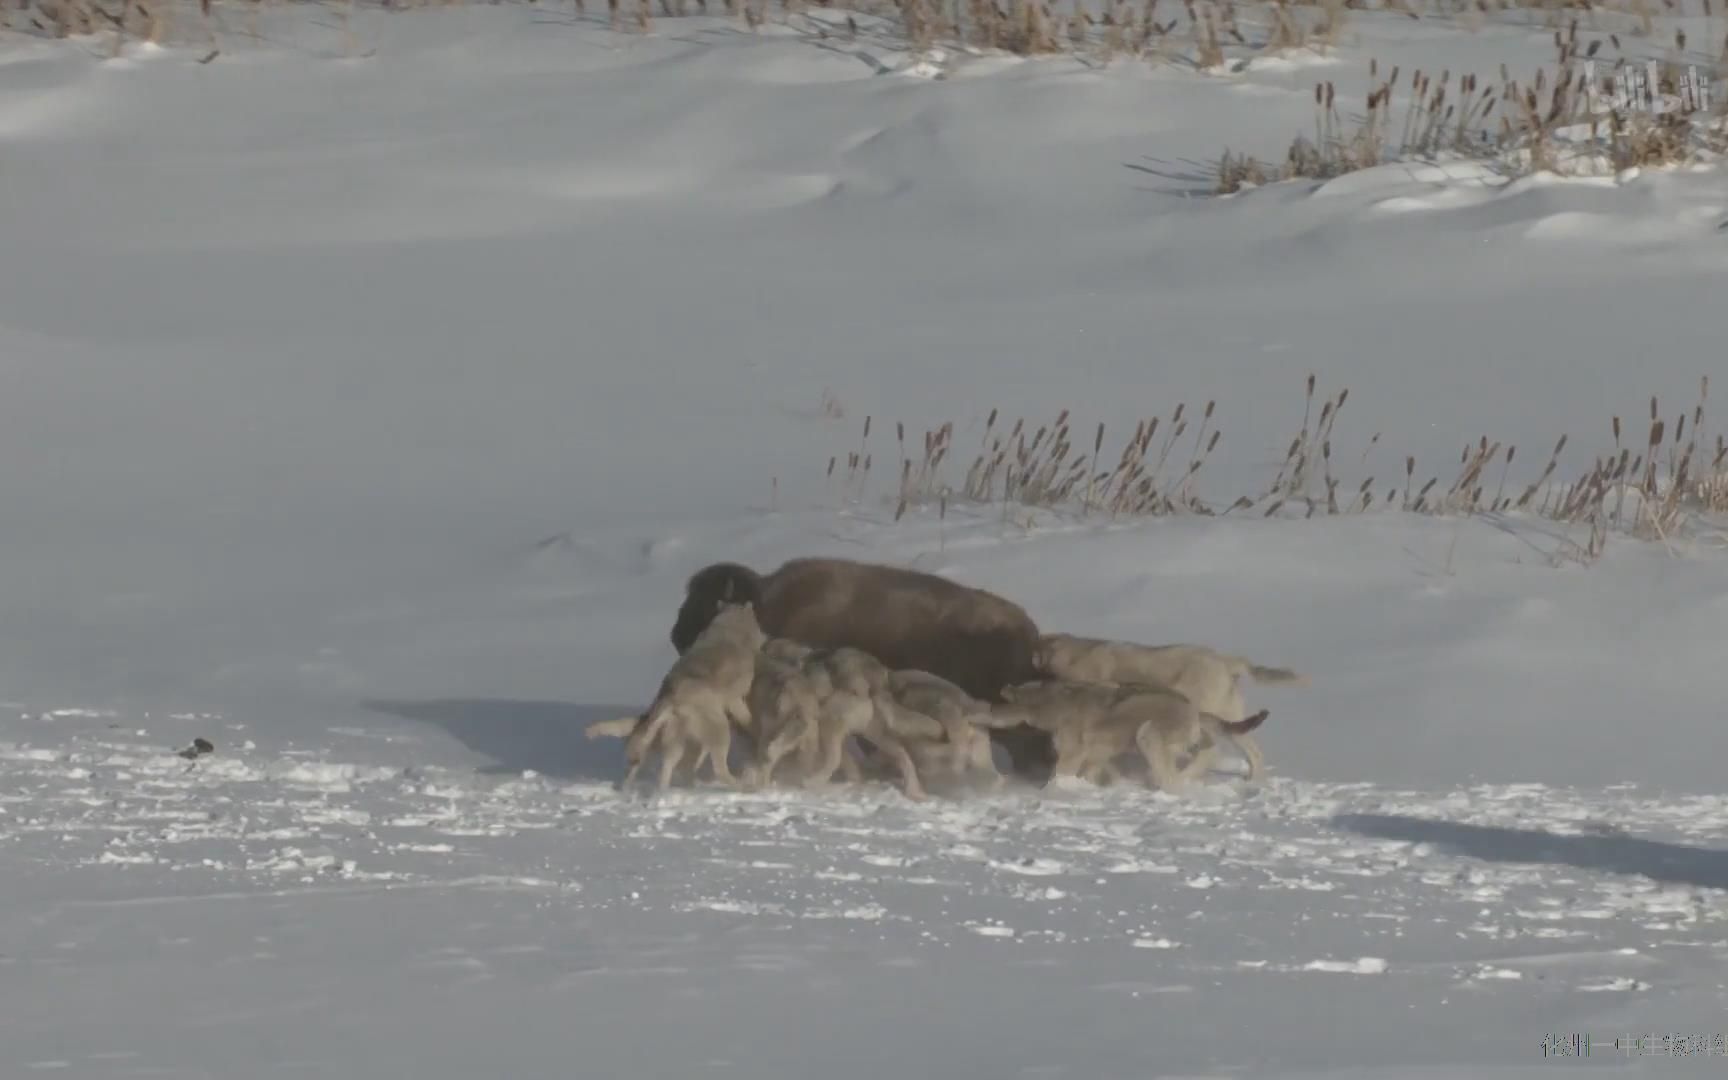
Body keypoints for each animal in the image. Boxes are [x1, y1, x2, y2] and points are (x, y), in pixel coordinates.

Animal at [615, 601, 763, 787]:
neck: (730, 628)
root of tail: (671, 699)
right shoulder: (734, 699)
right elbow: (744, 714)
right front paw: (750, 722)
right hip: (719, 729)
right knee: (719, 769)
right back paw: (740, 783)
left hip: (676, 740)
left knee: (665, 766)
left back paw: (661, 789)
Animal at [995, 680, 1264, 791]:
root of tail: (1193, 708)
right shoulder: (1094, 759)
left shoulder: (1073, 756)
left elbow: (1056, 778)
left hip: (1147, 735)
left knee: (1171, 779)